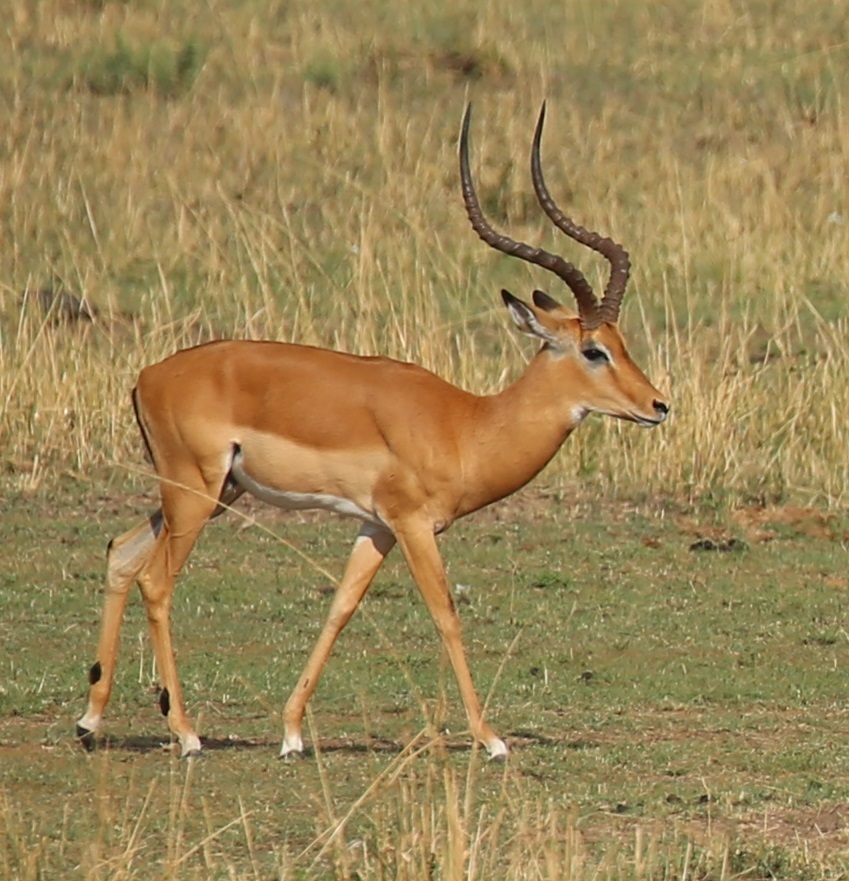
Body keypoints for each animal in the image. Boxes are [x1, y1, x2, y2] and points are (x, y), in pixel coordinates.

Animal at [76, 103, 669, 760]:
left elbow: (341, 606)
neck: (466, 424)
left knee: (121, 554)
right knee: (156, 581)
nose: (658, 405)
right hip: (195, 492)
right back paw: (184, 733)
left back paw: (90, 722)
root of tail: (147, 376)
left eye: (620, 342)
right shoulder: (414, 525)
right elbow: (445, 613)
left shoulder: (376, 526)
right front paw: (490, 738)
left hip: (204, 492)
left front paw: (292, 732)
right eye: (593, 350)